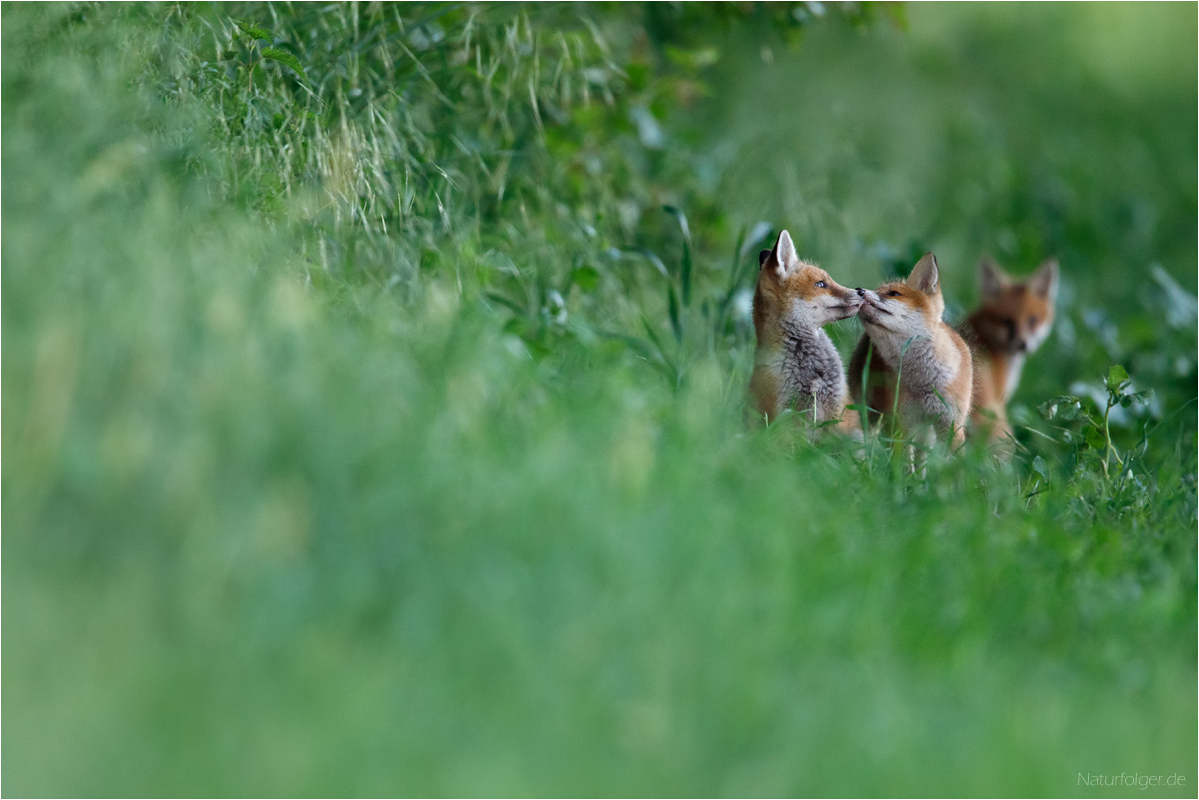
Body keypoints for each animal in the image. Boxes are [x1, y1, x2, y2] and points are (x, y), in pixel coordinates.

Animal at [844, 253, 973, 448]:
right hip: (871, 415)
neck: (923, 381)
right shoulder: (901, 425)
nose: (859, 290)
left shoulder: (952, 423)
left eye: (894, 293)